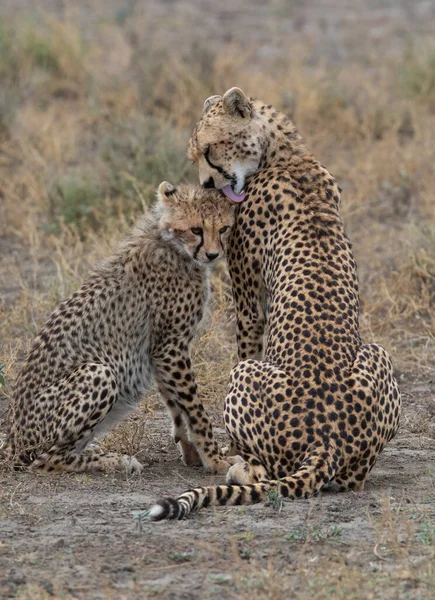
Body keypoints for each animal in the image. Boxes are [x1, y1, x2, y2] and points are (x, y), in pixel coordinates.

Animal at [4, 185, 235, 476]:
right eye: (196, 229)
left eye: (224, 228)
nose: (213, 255)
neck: (171, 243)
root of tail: (11, 440)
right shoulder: (171, 347)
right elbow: (195, 408)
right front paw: (216, 460)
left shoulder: (160, 351)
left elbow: (176, 406)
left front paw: (192, 453)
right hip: (98, 372)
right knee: (46, 460)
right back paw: (114, 460)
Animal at [145, 85, 400, 520]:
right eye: (194, 157)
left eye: (210, 150)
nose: (208, 185)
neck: (285, 155)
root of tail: (326, 441)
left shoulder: (248, 302)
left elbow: (246, 338)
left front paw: (224, 451)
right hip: (378, 355)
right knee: (353, 480)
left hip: (245, 375)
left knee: (266, 471)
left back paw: (239, 467)